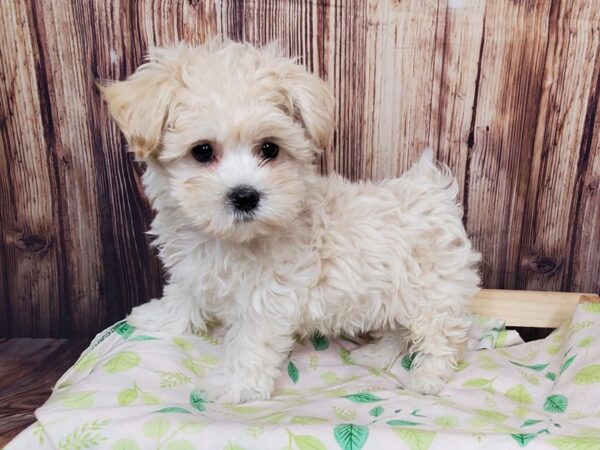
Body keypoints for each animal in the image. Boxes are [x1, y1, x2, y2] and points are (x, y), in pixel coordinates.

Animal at [101, 40, 480, 402]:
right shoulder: (193, 267)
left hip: (432, 295)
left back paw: (427, 378)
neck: (226, 238)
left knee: (441, 337)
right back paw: (376, 354)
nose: (245, 195)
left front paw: (236, 386)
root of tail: (432, 190)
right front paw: (159, 317)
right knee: (399, 329)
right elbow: (183, 294)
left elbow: (251, 345)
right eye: (202, 151)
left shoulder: (266, 300)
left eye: (269, 148)